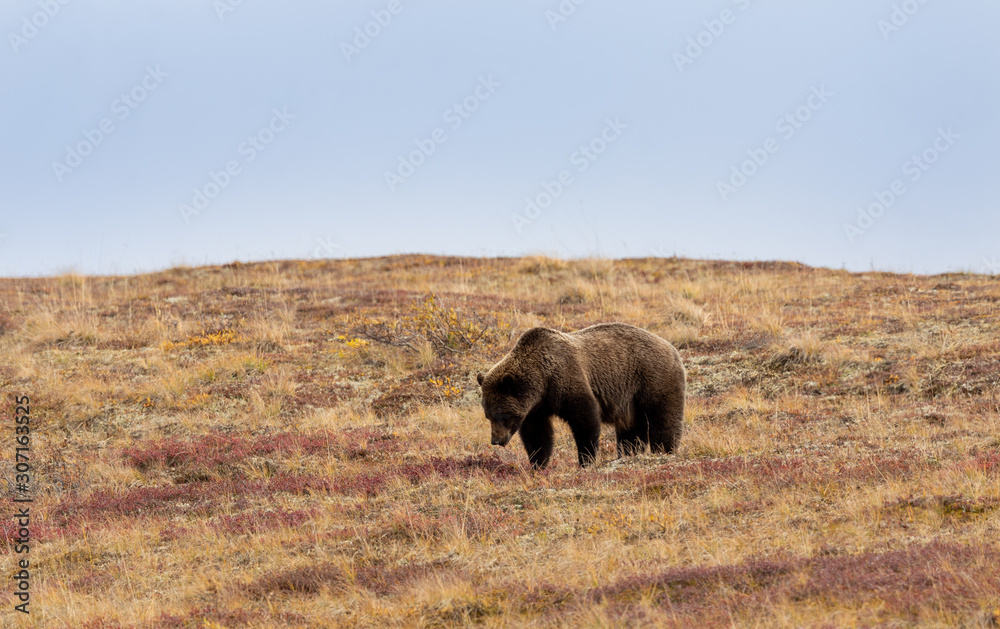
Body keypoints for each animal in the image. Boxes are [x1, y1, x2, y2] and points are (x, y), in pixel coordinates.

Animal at [476, 324, 688, 466]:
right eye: (488, 415)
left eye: (503, 415)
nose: (496, 441)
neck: (542, 381)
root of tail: (672, 349)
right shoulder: (536, 408)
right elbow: (537, 435)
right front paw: (538, 463)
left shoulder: (566, 379)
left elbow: (585, 419)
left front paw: (586, 459)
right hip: (631, 401)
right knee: (631, 431)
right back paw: (629, 454)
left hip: (653, 380)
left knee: (663, 420)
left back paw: (664, 452)